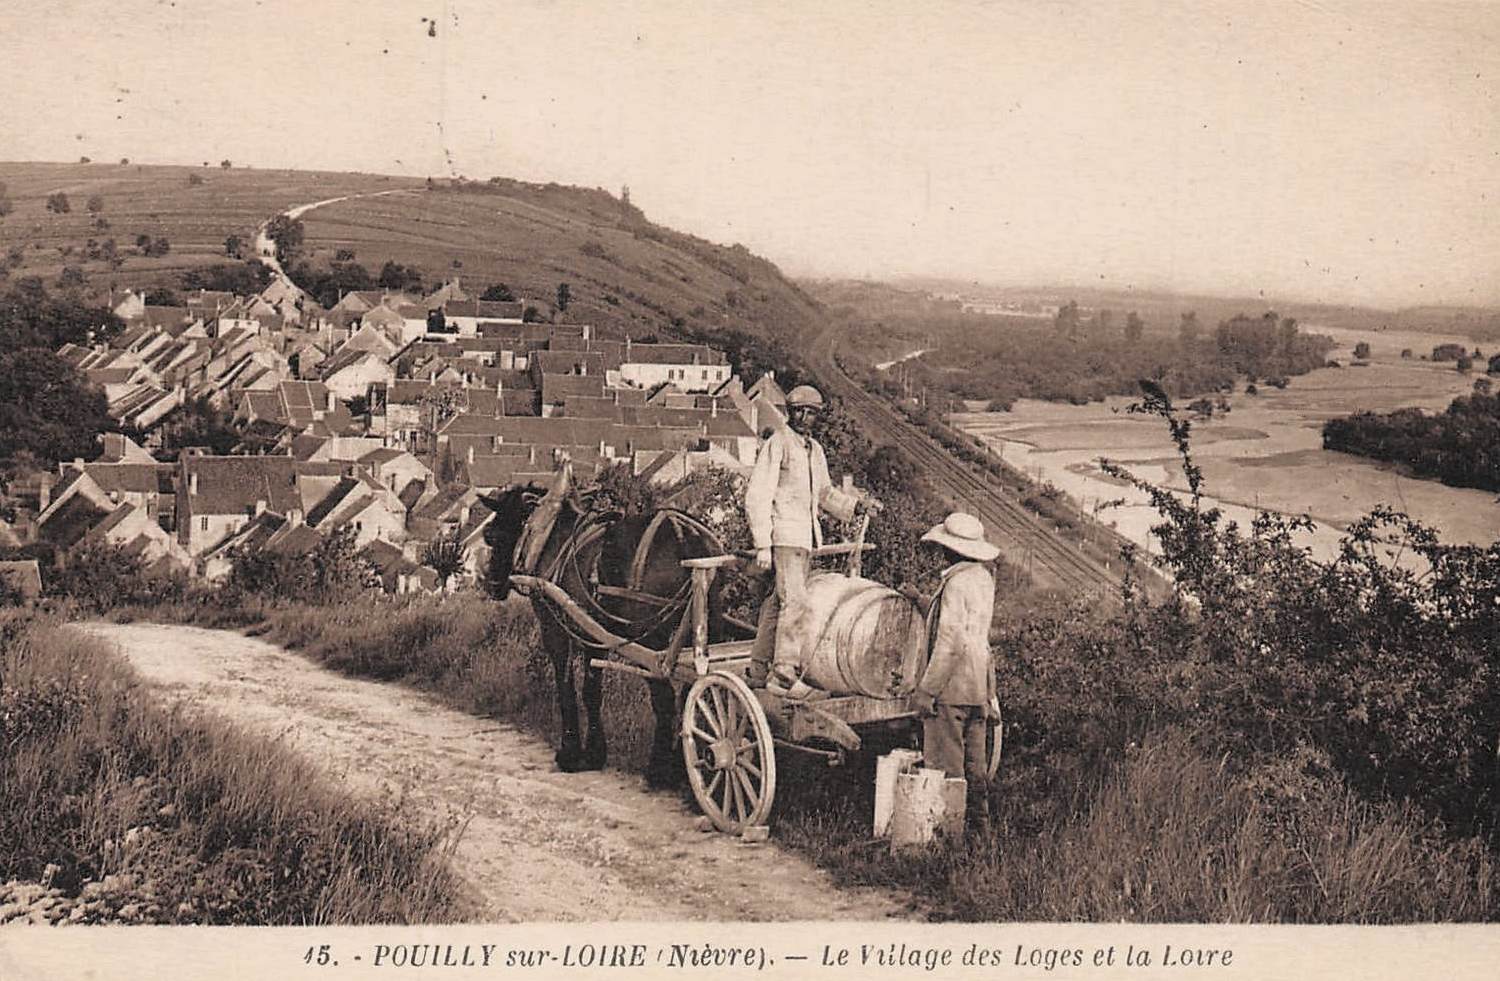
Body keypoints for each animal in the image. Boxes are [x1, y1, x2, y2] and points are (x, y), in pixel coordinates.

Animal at [483, 462, 741, 792]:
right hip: (705, 631)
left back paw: (661, 770)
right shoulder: (594, 636)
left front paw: (569, 752)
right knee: (698, 694)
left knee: (666, 699)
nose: (491, 583)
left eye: (492, 536)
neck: (552, 535)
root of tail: (685, 535)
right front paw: (594, 753)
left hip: (654, 643)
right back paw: (687, 768)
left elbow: (566, 687)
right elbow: (592, 690)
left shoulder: (554, 628)